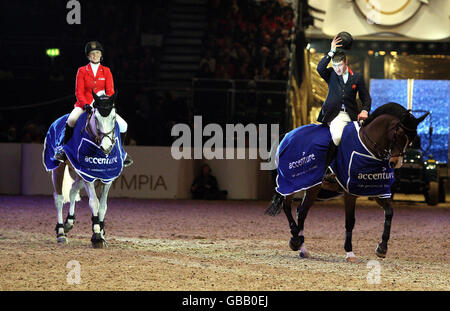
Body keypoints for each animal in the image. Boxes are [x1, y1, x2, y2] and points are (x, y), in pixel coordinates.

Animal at [42, 92, 125, 249]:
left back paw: (69, 222)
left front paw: (101, 233)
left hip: (80, 173)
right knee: (59, 198)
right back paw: (61, 232)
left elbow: (103, 206)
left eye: (113, 117)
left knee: (73, 190)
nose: (106, 147)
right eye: (96, 118)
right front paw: (97, 235)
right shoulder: (88, 176)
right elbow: (94, 202)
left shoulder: (107, 177)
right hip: (58, 168)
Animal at [268, 103, 428, 262]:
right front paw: (350, 252)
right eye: (399, 134)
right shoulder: (349, 192)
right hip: (292, 182)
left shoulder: (375, 190)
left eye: (412, 139)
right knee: (287, 206)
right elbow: (350, 221)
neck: (368, 146)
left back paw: (302, 249)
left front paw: (382, 248)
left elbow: (389, 212)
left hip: (312, 187)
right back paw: (295, 240)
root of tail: (287, 135)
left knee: (301, 212)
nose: (396, 163)